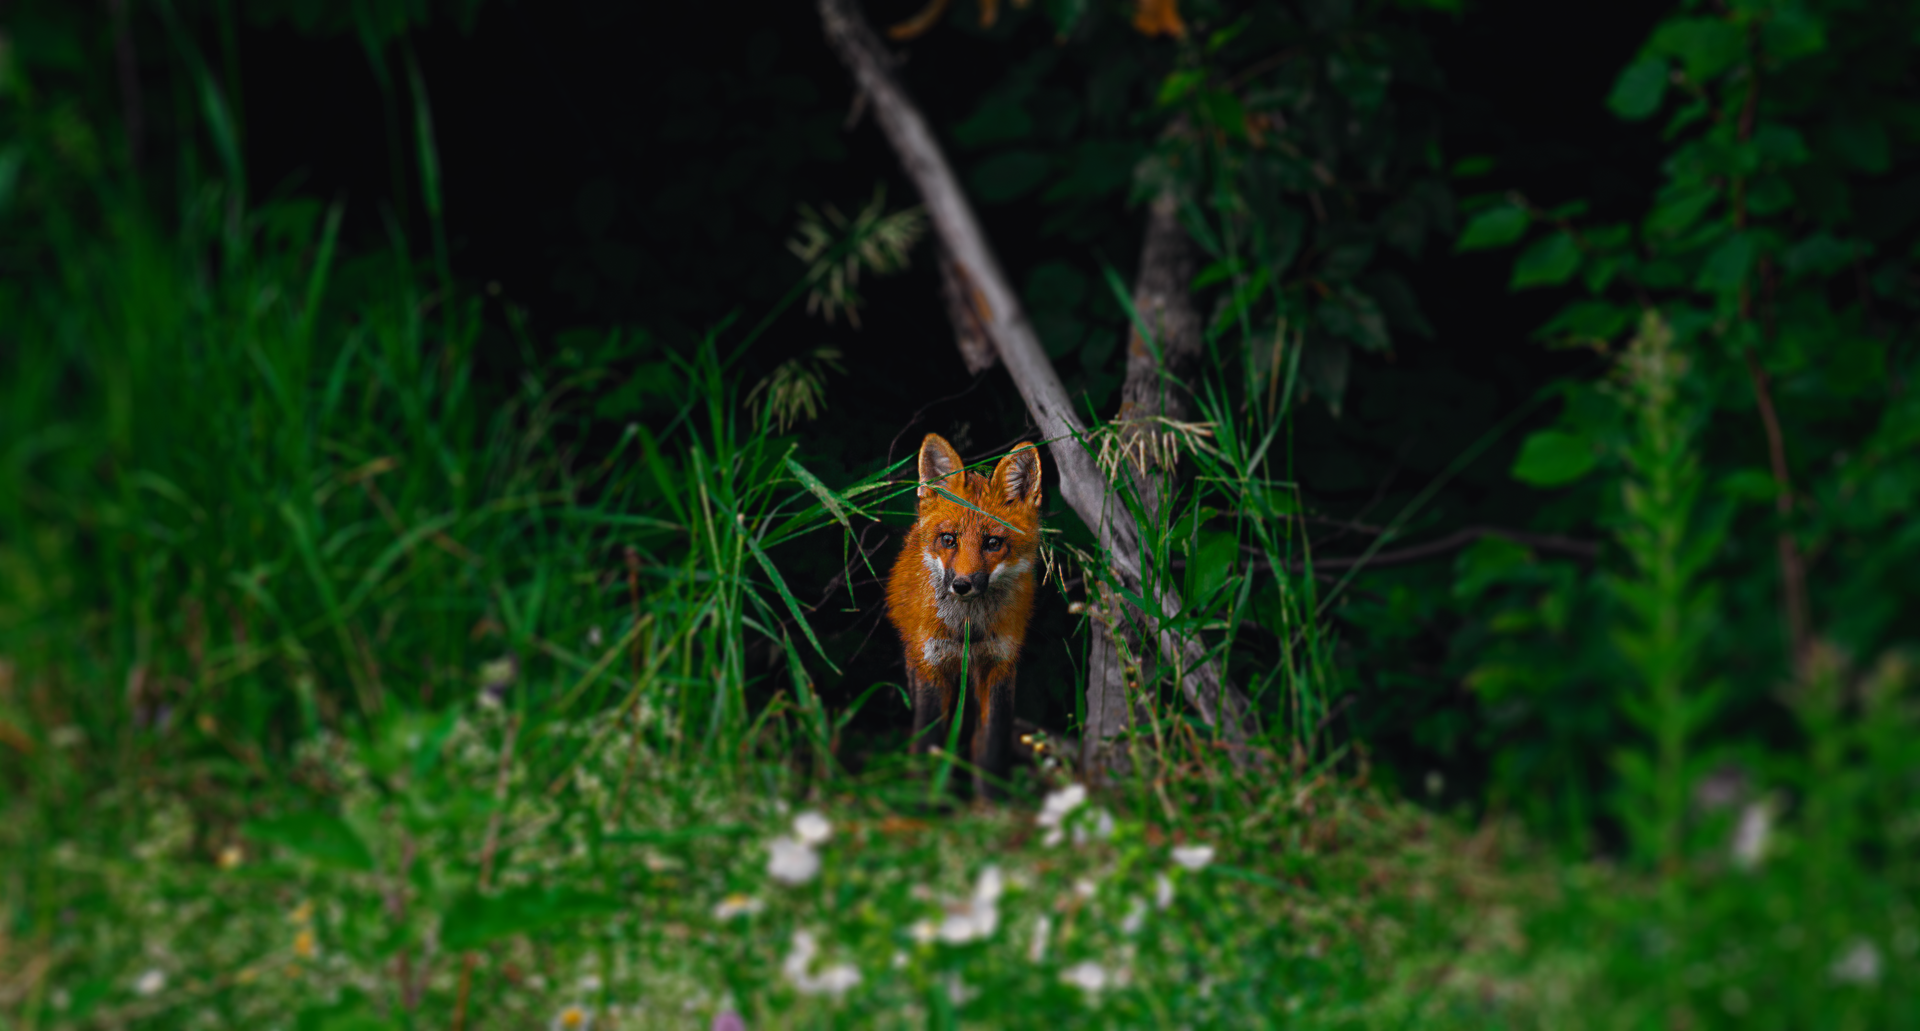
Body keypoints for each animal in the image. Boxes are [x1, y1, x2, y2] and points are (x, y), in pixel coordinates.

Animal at [886, 432, 1043, 798]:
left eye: (993, 543)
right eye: (948, 540)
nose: (962, 584)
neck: (967, 630)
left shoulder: (999, 666)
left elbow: (990, 747)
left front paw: (989, 801)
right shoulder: (931, 666)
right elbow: (928, 741)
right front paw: (922, 797)